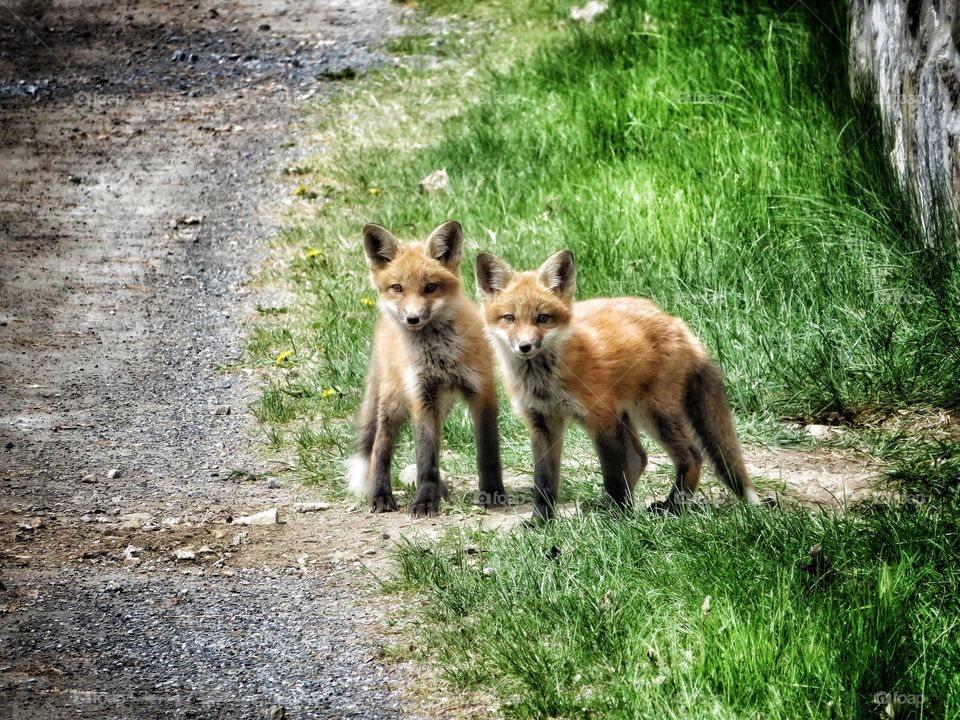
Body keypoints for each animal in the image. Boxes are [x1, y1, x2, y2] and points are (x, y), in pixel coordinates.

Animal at [346, 220, 507, 517]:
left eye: (431, 287)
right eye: (397, 288)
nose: (412, 318)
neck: (439, 356)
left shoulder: (481, 390)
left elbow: (488, 452)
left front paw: (492, 493)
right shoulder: (422, 396)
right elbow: (425, 458)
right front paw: (424, 500)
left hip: (441, 405)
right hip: (394, 402)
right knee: (379, 448)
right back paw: (381, 495)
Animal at [475, 249, 763, 521]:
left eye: (543, 318)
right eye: (509, 318)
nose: (525, 346)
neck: (544, 381)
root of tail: (676, 322)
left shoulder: (601, 417)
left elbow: (613, 474)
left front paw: (619, 519)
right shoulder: (542, 424)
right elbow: (544, 482)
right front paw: (541, 522)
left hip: (652, 412)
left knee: (691, 456)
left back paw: (672, 508)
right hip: (628, 413)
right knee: (639, 458)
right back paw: (613, 505)